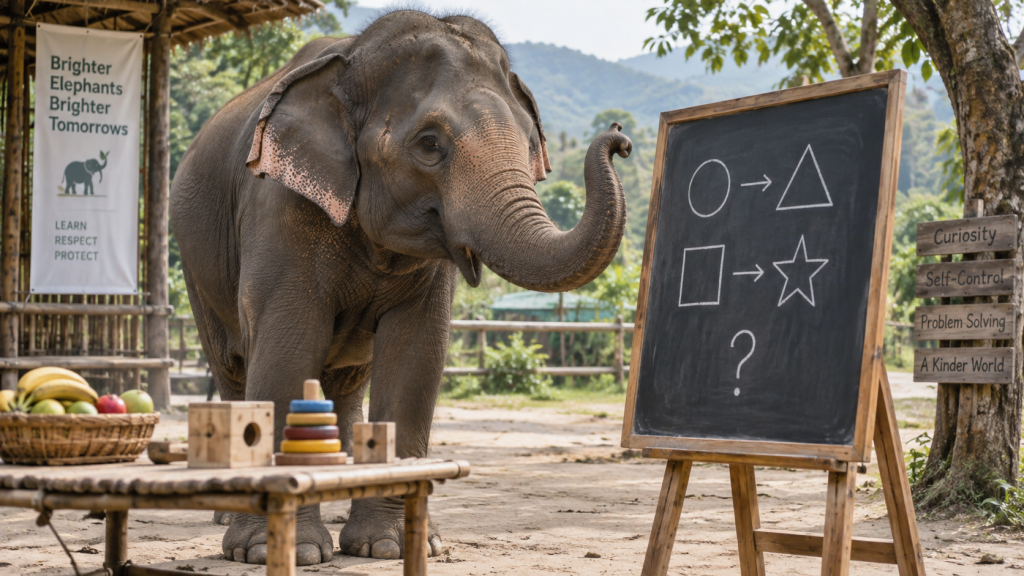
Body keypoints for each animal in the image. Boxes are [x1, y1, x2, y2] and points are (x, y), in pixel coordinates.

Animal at [169, 10, 630, 567]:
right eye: (429, 144)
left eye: (528, 144)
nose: (620, 136)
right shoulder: (277, 202)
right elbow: (287, 342)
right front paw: (278, 551)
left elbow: (415, 351)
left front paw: (389, 546)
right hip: (195, 268)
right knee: (233, 369)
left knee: (343, 384)